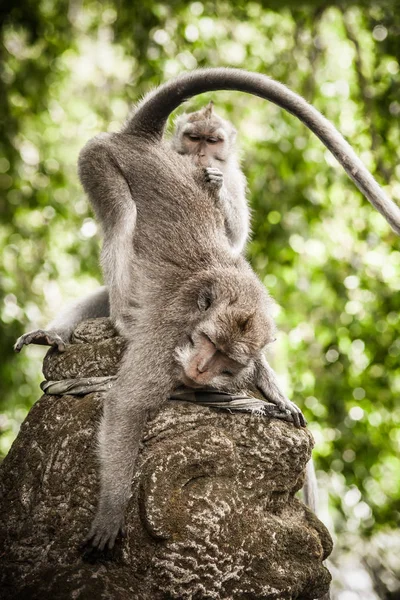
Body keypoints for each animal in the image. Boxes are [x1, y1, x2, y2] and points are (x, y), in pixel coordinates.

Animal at [14, 67, 398, 552]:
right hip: (98, 160)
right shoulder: (167, 337)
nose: (198, 369)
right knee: (122, 217)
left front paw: (270, 389)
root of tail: (140, 138)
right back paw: (116, 314)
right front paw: (112, 509)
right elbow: (126, 405)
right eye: (208, 342)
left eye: (224, 357)